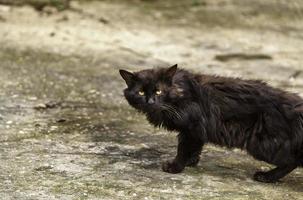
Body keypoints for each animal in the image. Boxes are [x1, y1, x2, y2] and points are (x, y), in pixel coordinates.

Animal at [119, 64, 303, 183]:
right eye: (140, 92)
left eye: (158, 91)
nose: (150, 102)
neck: (180, 93)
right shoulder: (196, 130)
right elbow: (195, 147)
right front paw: (191, 162)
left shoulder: (191, 127)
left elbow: (183, 149)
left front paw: (176, 167)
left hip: (263, 144)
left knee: (291, 161)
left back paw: (266, 177)